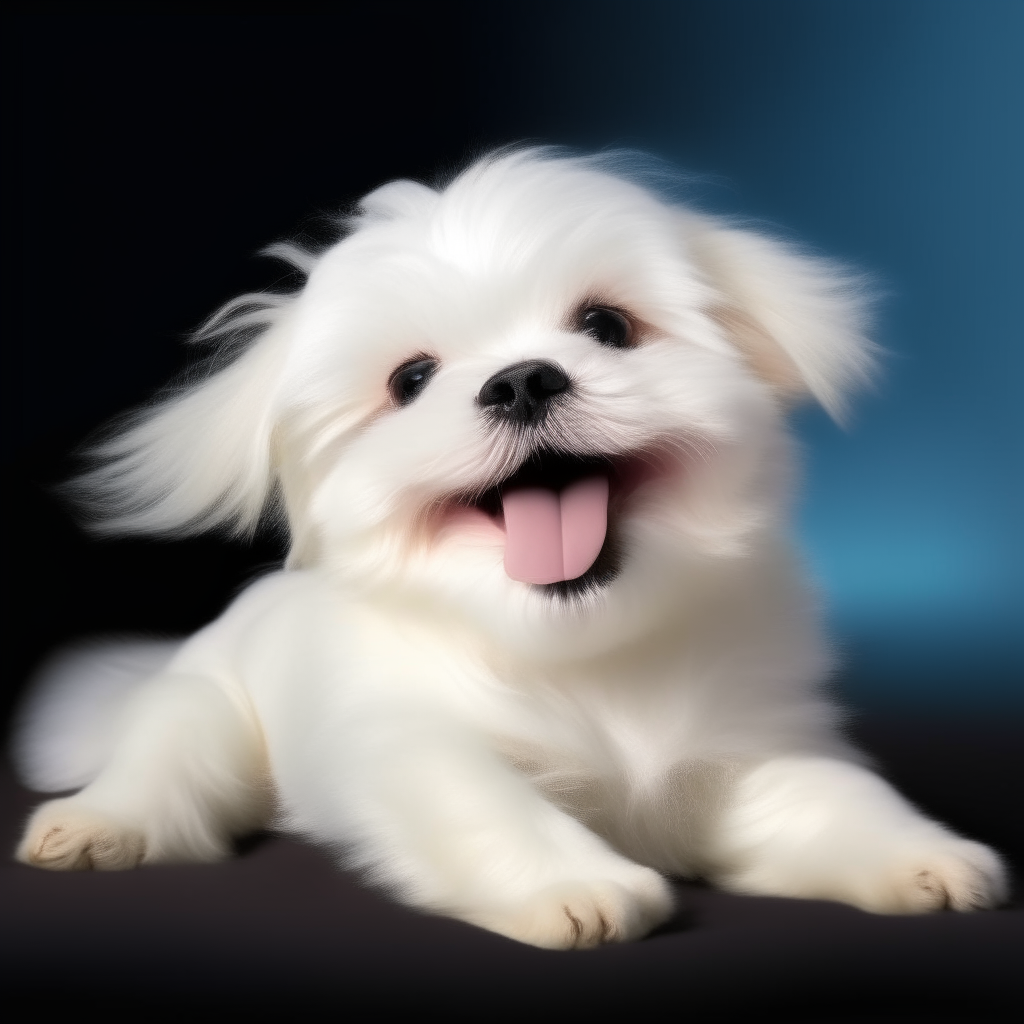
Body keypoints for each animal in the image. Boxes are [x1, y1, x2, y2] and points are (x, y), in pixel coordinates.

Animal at [14, 148, 1007, 946]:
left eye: (607, 326)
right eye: (411, 380)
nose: (523, 379)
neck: (587, 645)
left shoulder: (749, 752)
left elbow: (833, 798)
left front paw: (925, 857)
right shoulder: (407, 745)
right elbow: (486, 803)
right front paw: (580, 887)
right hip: (205, 714)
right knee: (167, 769)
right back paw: (98, 827)